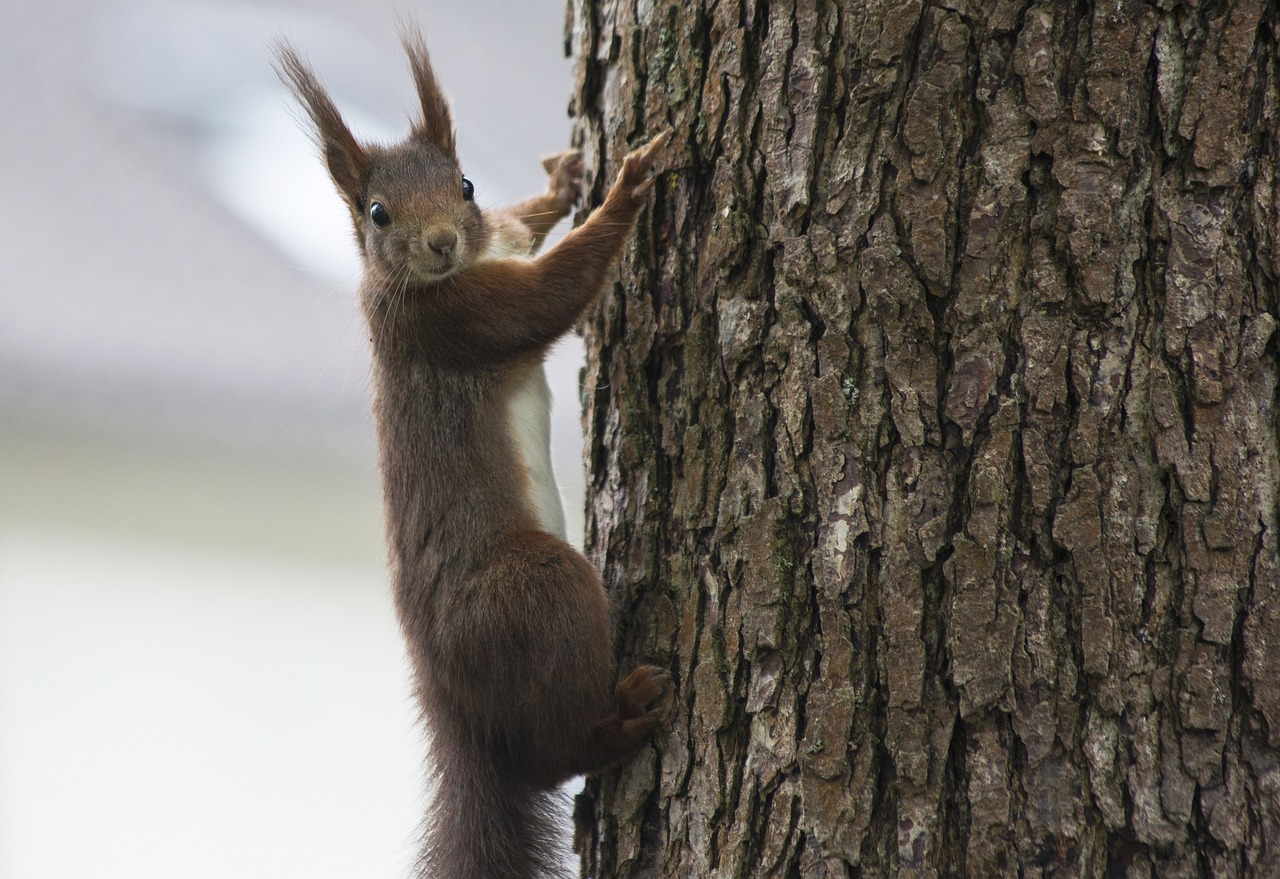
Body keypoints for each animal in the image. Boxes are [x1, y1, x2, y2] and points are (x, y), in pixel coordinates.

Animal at [276, 25, 675, 879]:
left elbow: (527, 225)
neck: (458, 269)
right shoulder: (460, 320)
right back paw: (621, 719)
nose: (440, 242)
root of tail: (448, 703)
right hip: (534, 590)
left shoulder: (499, 246)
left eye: (464, 184)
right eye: (376, 212)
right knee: (550, 757)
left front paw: (565, 179)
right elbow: (554, 293)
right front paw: (627, 187)